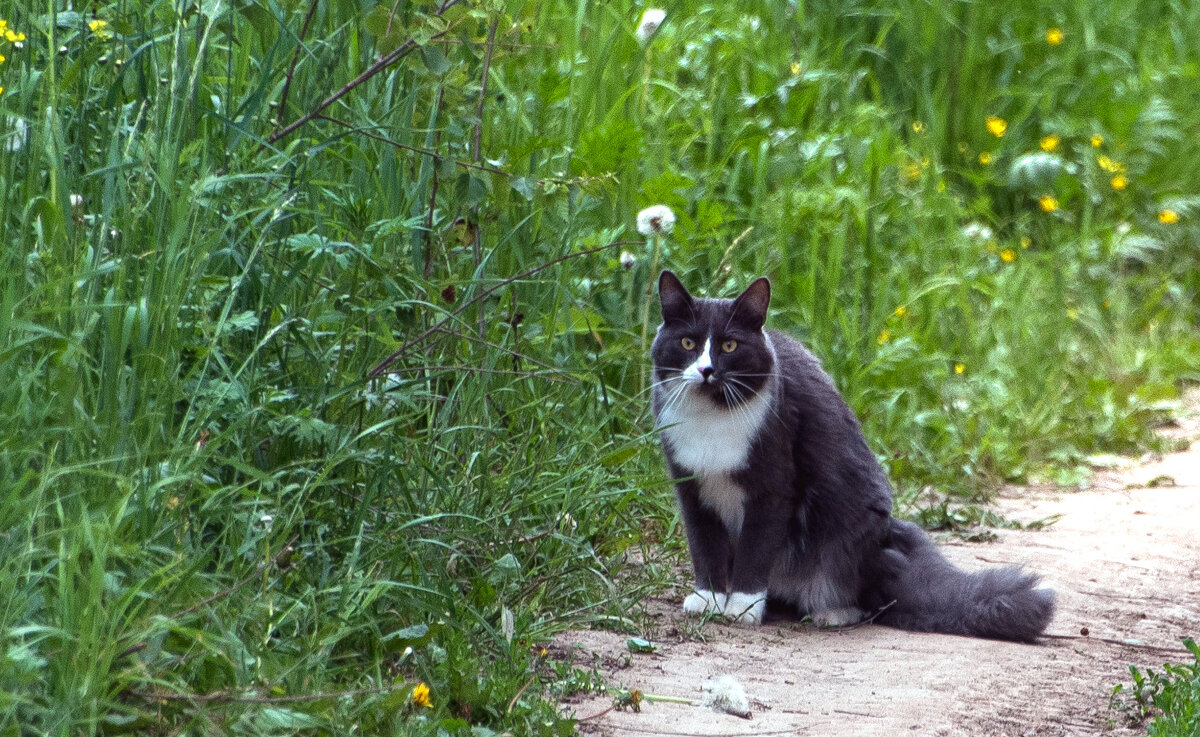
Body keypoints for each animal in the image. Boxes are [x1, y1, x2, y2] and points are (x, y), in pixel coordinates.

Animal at [652, 271, 1056, 643]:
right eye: (688, 342)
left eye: (730, 345)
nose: (706, 370)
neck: (711, 419)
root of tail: (891, 539)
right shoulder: (691, 487)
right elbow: (705, 547)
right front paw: (708, 600)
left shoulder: (774, 486)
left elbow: (756, 549)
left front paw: (742, 608)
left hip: (849, 525)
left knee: (866, 598)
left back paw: (832, 612)